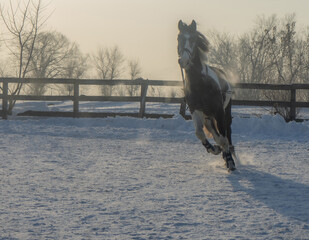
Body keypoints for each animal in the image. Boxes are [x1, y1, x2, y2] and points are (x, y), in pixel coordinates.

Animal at [176, 19, 236, 172]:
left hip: (225, 113)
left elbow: (223, 139)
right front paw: (214, 149)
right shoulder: (196, 111)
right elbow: (200, 133)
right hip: (208, 118)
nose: (184, 61)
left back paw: (232, 156)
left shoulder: (219, 112)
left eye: (193, 39)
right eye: (179, 38)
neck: (200, 84)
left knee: (227, 134)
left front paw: (230, 162)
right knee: (216, 134)